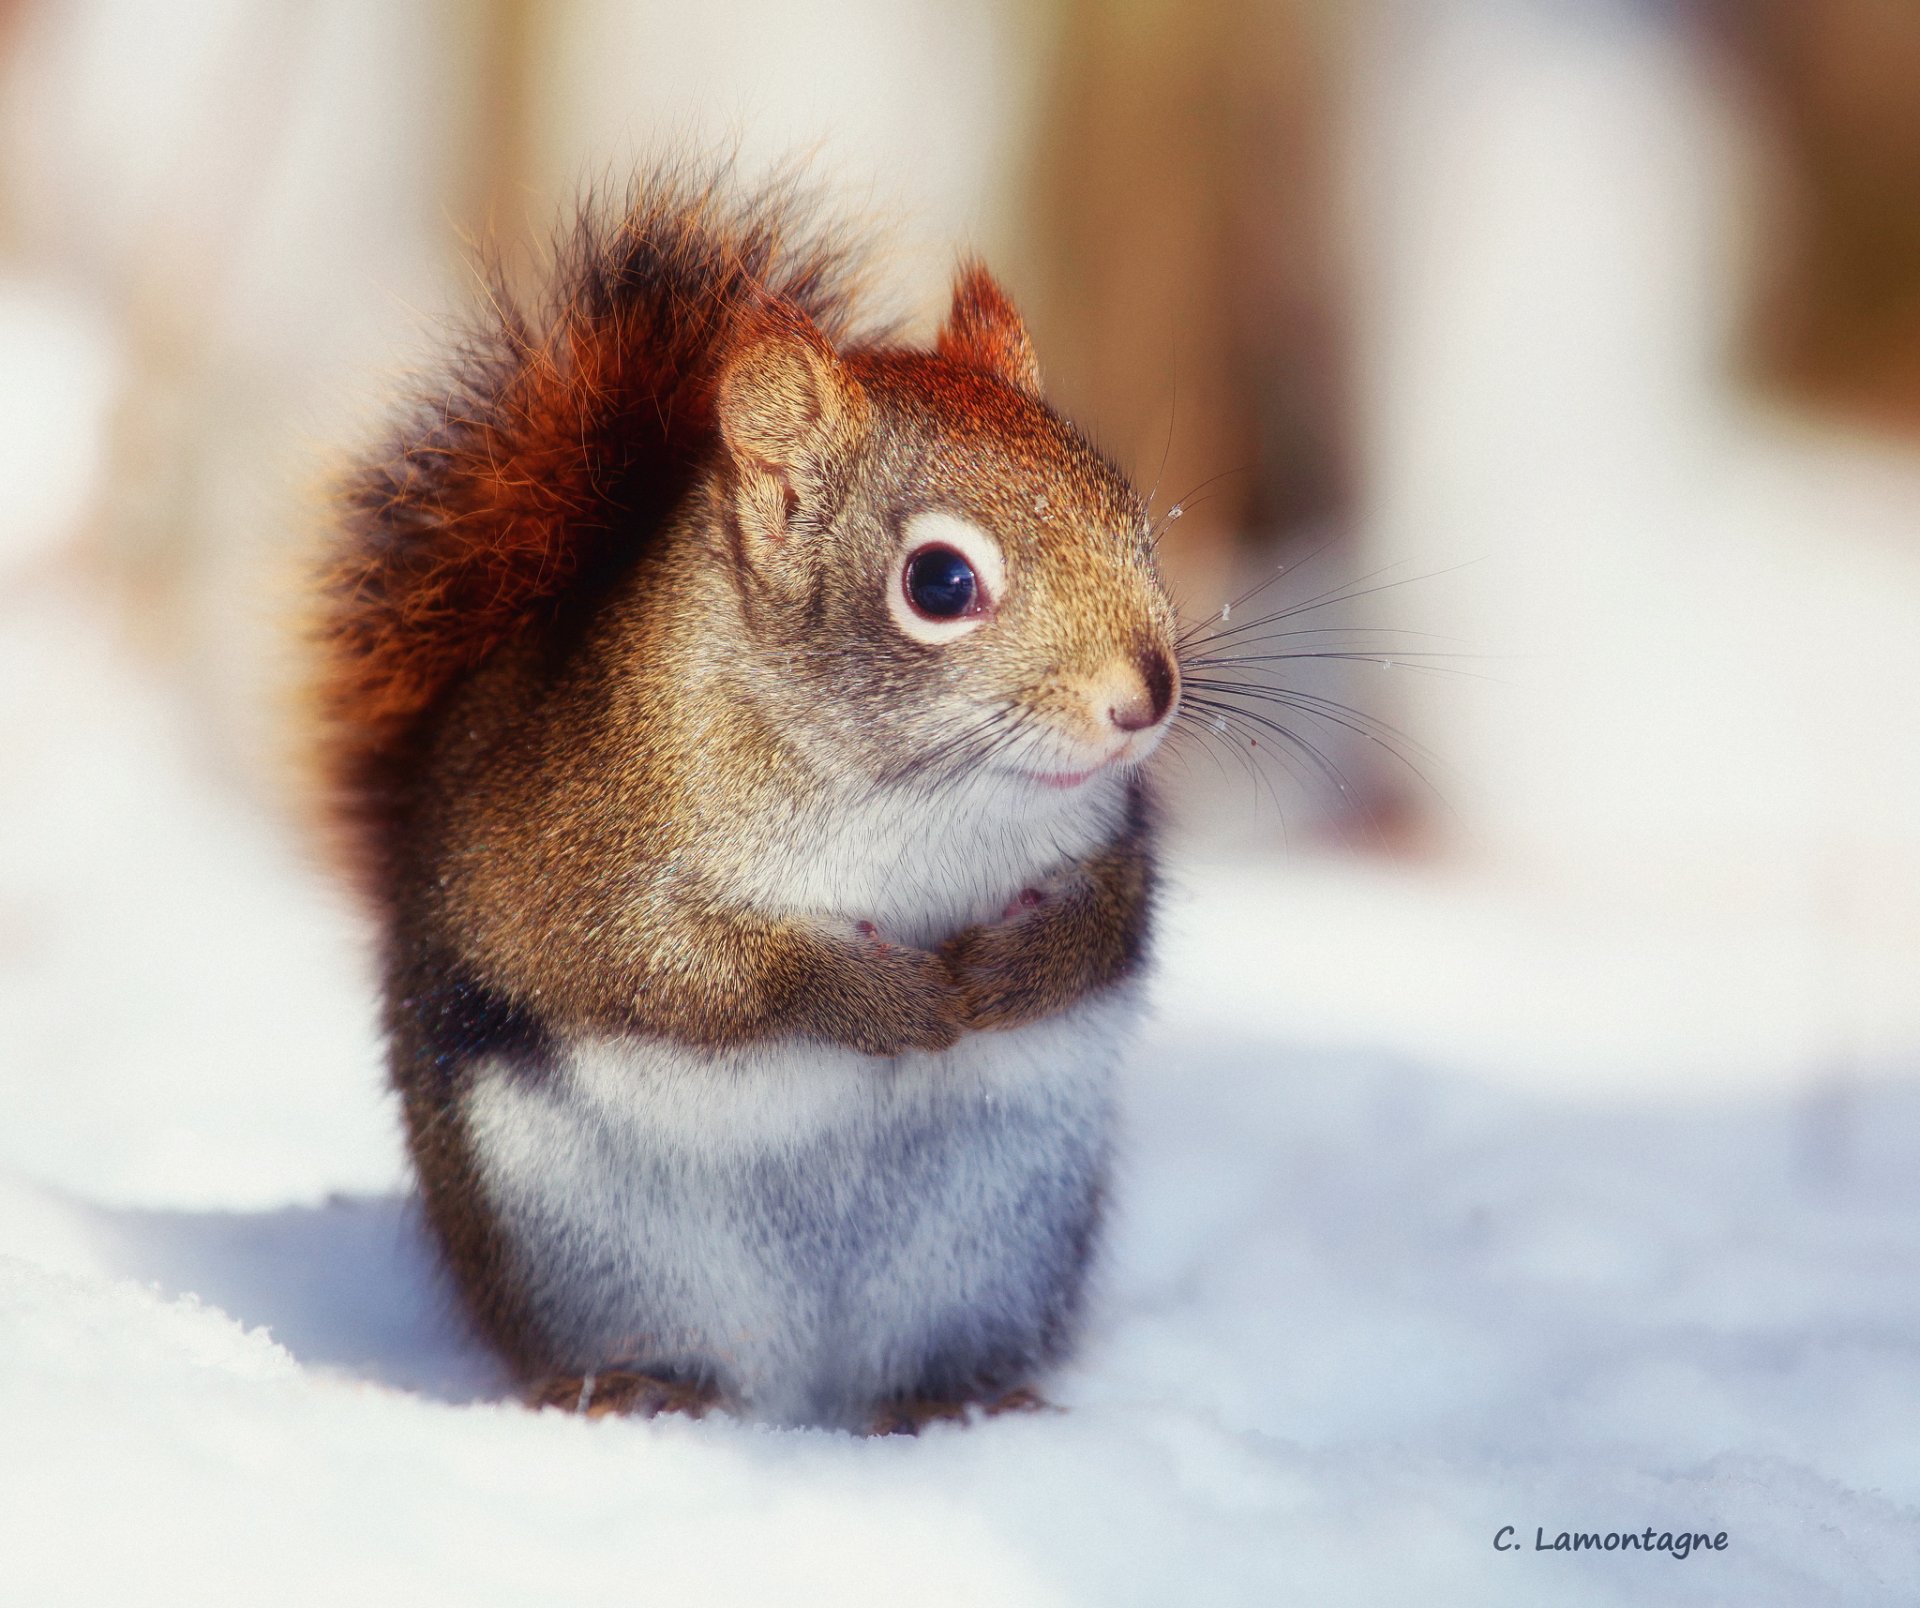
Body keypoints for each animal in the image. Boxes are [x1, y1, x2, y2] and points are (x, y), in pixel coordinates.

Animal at [307, 169, 1182, 1432]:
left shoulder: (1111, 834)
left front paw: (1010, 972)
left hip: (994, 1250)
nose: (1147, 695)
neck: (916, 799)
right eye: (940, 583)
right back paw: (643, 1390)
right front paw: (885, 998)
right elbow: (678, 972)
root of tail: (799, 1390)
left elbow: (1113, 917)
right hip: (597, 1255)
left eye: (1125, 510)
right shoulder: (588, 854)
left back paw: (954, 1405)